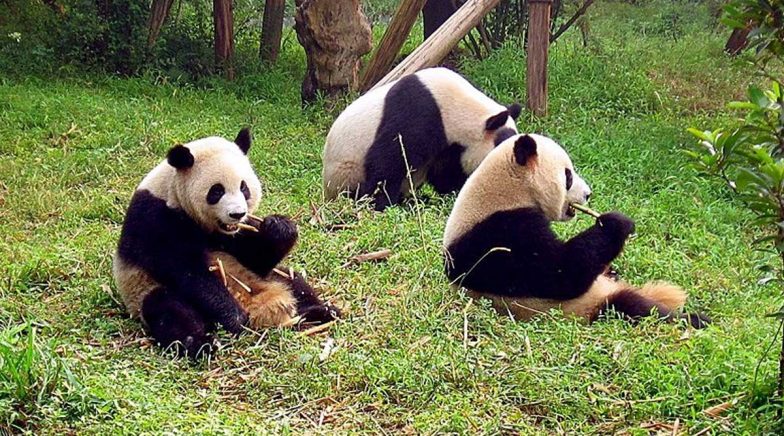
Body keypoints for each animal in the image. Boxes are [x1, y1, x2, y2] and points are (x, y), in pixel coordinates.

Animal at [113, 127, 340, 358]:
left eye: (244, 188)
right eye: (217, 191)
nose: (237, 214)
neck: (173, 192)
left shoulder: (234, 234)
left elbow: (257, 258)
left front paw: (279, 227)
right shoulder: (154, 219)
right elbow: (188, 272)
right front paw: (233, 317)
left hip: (267, 278)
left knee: (294, 281)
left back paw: (322, 311)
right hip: (144, 289)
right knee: (170, 310)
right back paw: (202, 343)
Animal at [322, 66, 524, 211]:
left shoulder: (450, 145)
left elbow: (446, 171)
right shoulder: (418, 114)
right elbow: (388, 160)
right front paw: (380, 203)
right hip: (345, 173)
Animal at [440, 133, 712, 328]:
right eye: (568, 175)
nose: (588, 194)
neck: (506, 191)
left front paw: (612, 264)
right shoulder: (501, 233)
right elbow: (560, 273)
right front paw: (615, 223)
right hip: (591, 305)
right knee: (636, 308)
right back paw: (694, 320)